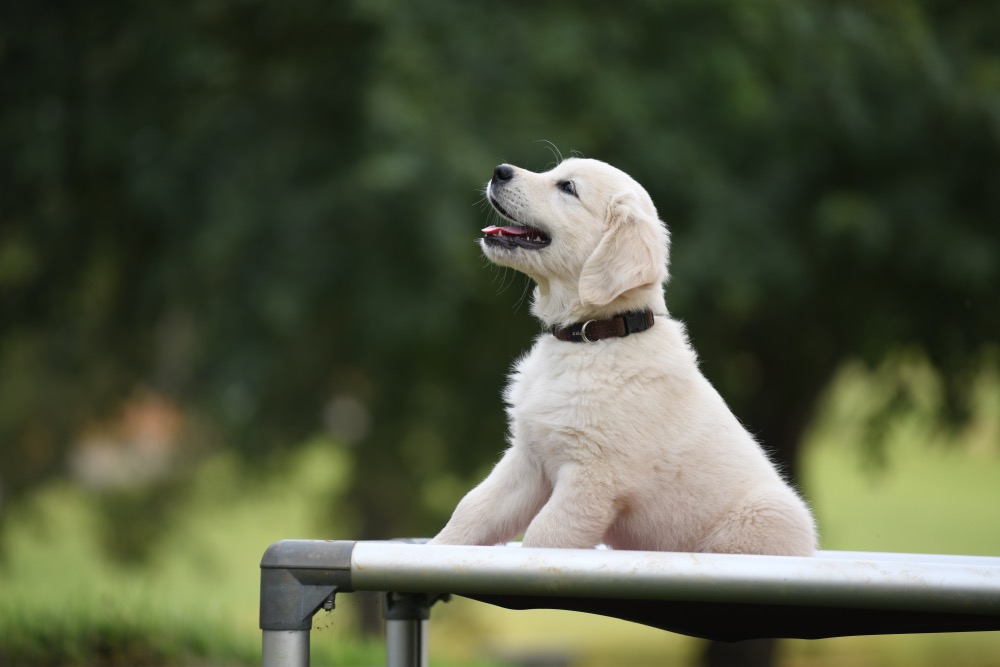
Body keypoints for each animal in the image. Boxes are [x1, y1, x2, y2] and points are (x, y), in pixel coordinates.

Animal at [432, 159, 820, 556]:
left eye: (568, 187)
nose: (500, 170)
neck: (591, 336)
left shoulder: (593, 476)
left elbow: (545, 536)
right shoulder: (529, 458)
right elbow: (473, 508)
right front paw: (439, 546)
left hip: (762, 516)